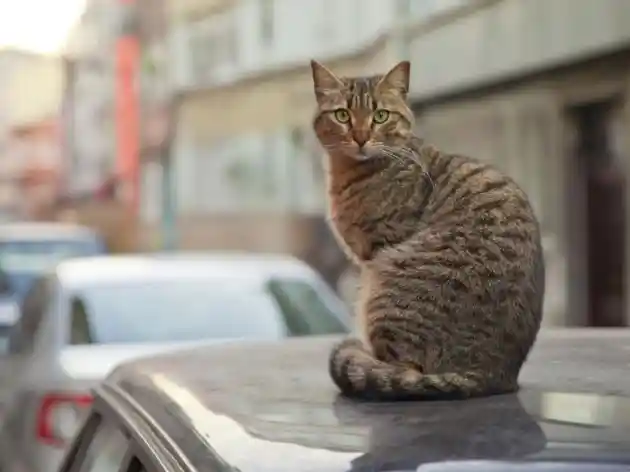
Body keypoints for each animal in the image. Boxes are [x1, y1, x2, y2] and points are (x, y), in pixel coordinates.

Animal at [312, 57, 548, 400]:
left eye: (380, 116)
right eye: (343, 115)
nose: (360, 136)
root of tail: (490, 375)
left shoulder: (378, 246)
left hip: (383, 285)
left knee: (400, 370)